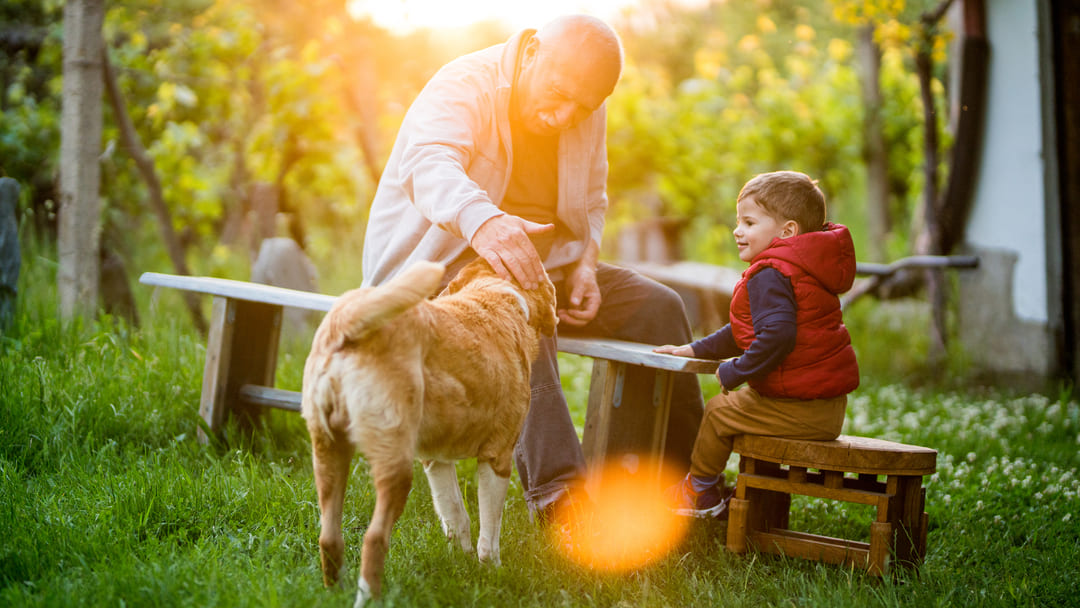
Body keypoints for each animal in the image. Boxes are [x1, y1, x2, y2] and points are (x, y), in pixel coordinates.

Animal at [302, 255, 557, 604]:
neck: (494, 293)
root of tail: (345, 321)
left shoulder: (436, 461)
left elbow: (456, 515)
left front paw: (462, 565)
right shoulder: (497, 457)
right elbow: (489, 533)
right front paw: (492, 573)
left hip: (327, 451)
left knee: (328, 537)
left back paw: (333, 595)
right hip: (395, 465)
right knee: (373, 539)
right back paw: (369, 599)